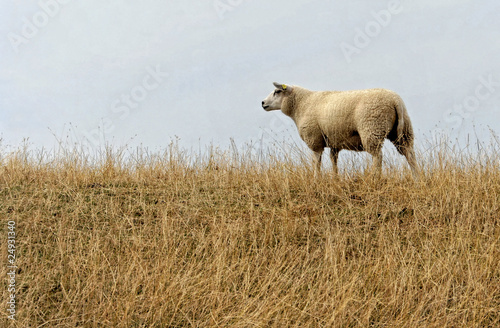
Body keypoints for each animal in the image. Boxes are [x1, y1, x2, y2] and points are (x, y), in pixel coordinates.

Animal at [262, 81, 418, 174]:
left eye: (277, 92)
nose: (263, 103)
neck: (302, 104)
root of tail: (395, 100)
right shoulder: (334, 141)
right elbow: (333, 161)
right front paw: (335, 178)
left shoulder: (315, 140)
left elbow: (316, 162)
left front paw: (316, 179)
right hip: (403, 131)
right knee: (410, 155)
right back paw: (416, 177)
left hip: (372, 129)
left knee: (377, 156)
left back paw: (375, 177)